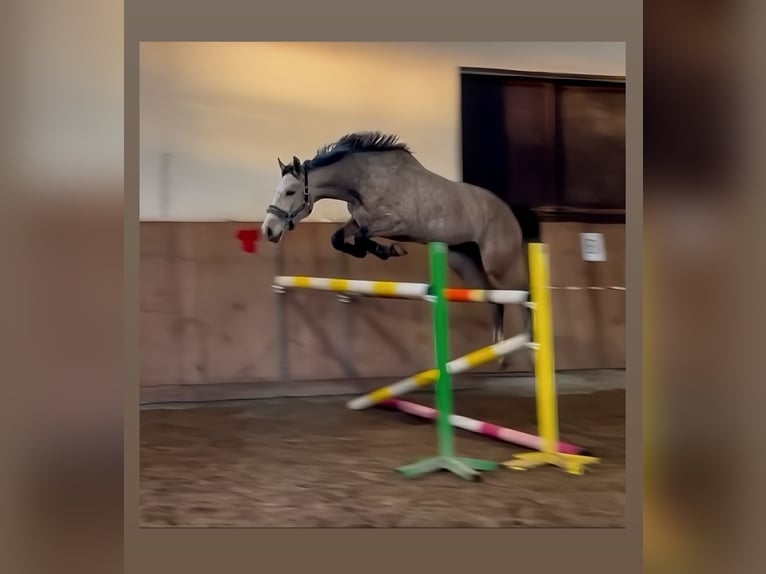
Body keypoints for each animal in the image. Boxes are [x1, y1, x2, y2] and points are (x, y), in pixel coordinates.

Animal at [261, 131, 540, 366]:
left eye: (290, 191)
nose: (268, 230)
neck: (364, 183)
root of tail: (509, 211)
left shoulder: (396, 225)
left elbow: (362, 238)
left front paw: (391, 251)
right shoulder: (359, 221)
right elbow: (338, 238)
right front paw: (379, 251)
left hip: (500, 265)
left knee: (522, 295)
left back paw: (530, 349)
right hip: (464, 263)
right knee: (495, 301)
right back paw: (500, 353)